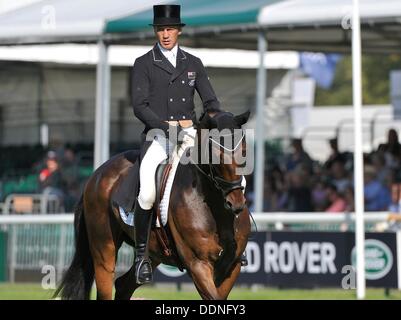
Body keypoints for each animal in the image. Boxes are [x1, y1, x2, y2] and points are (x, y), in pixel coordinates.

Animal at [53, 110, 250, 300]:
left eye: (245, 150)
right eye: (216, 153)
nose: (236, 203)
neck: (217, 211)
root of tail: (95, 175)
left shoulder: (231, 266)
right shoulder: (198, 264)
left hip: (154, 252)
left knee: (123, 286)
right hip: (104, 250)